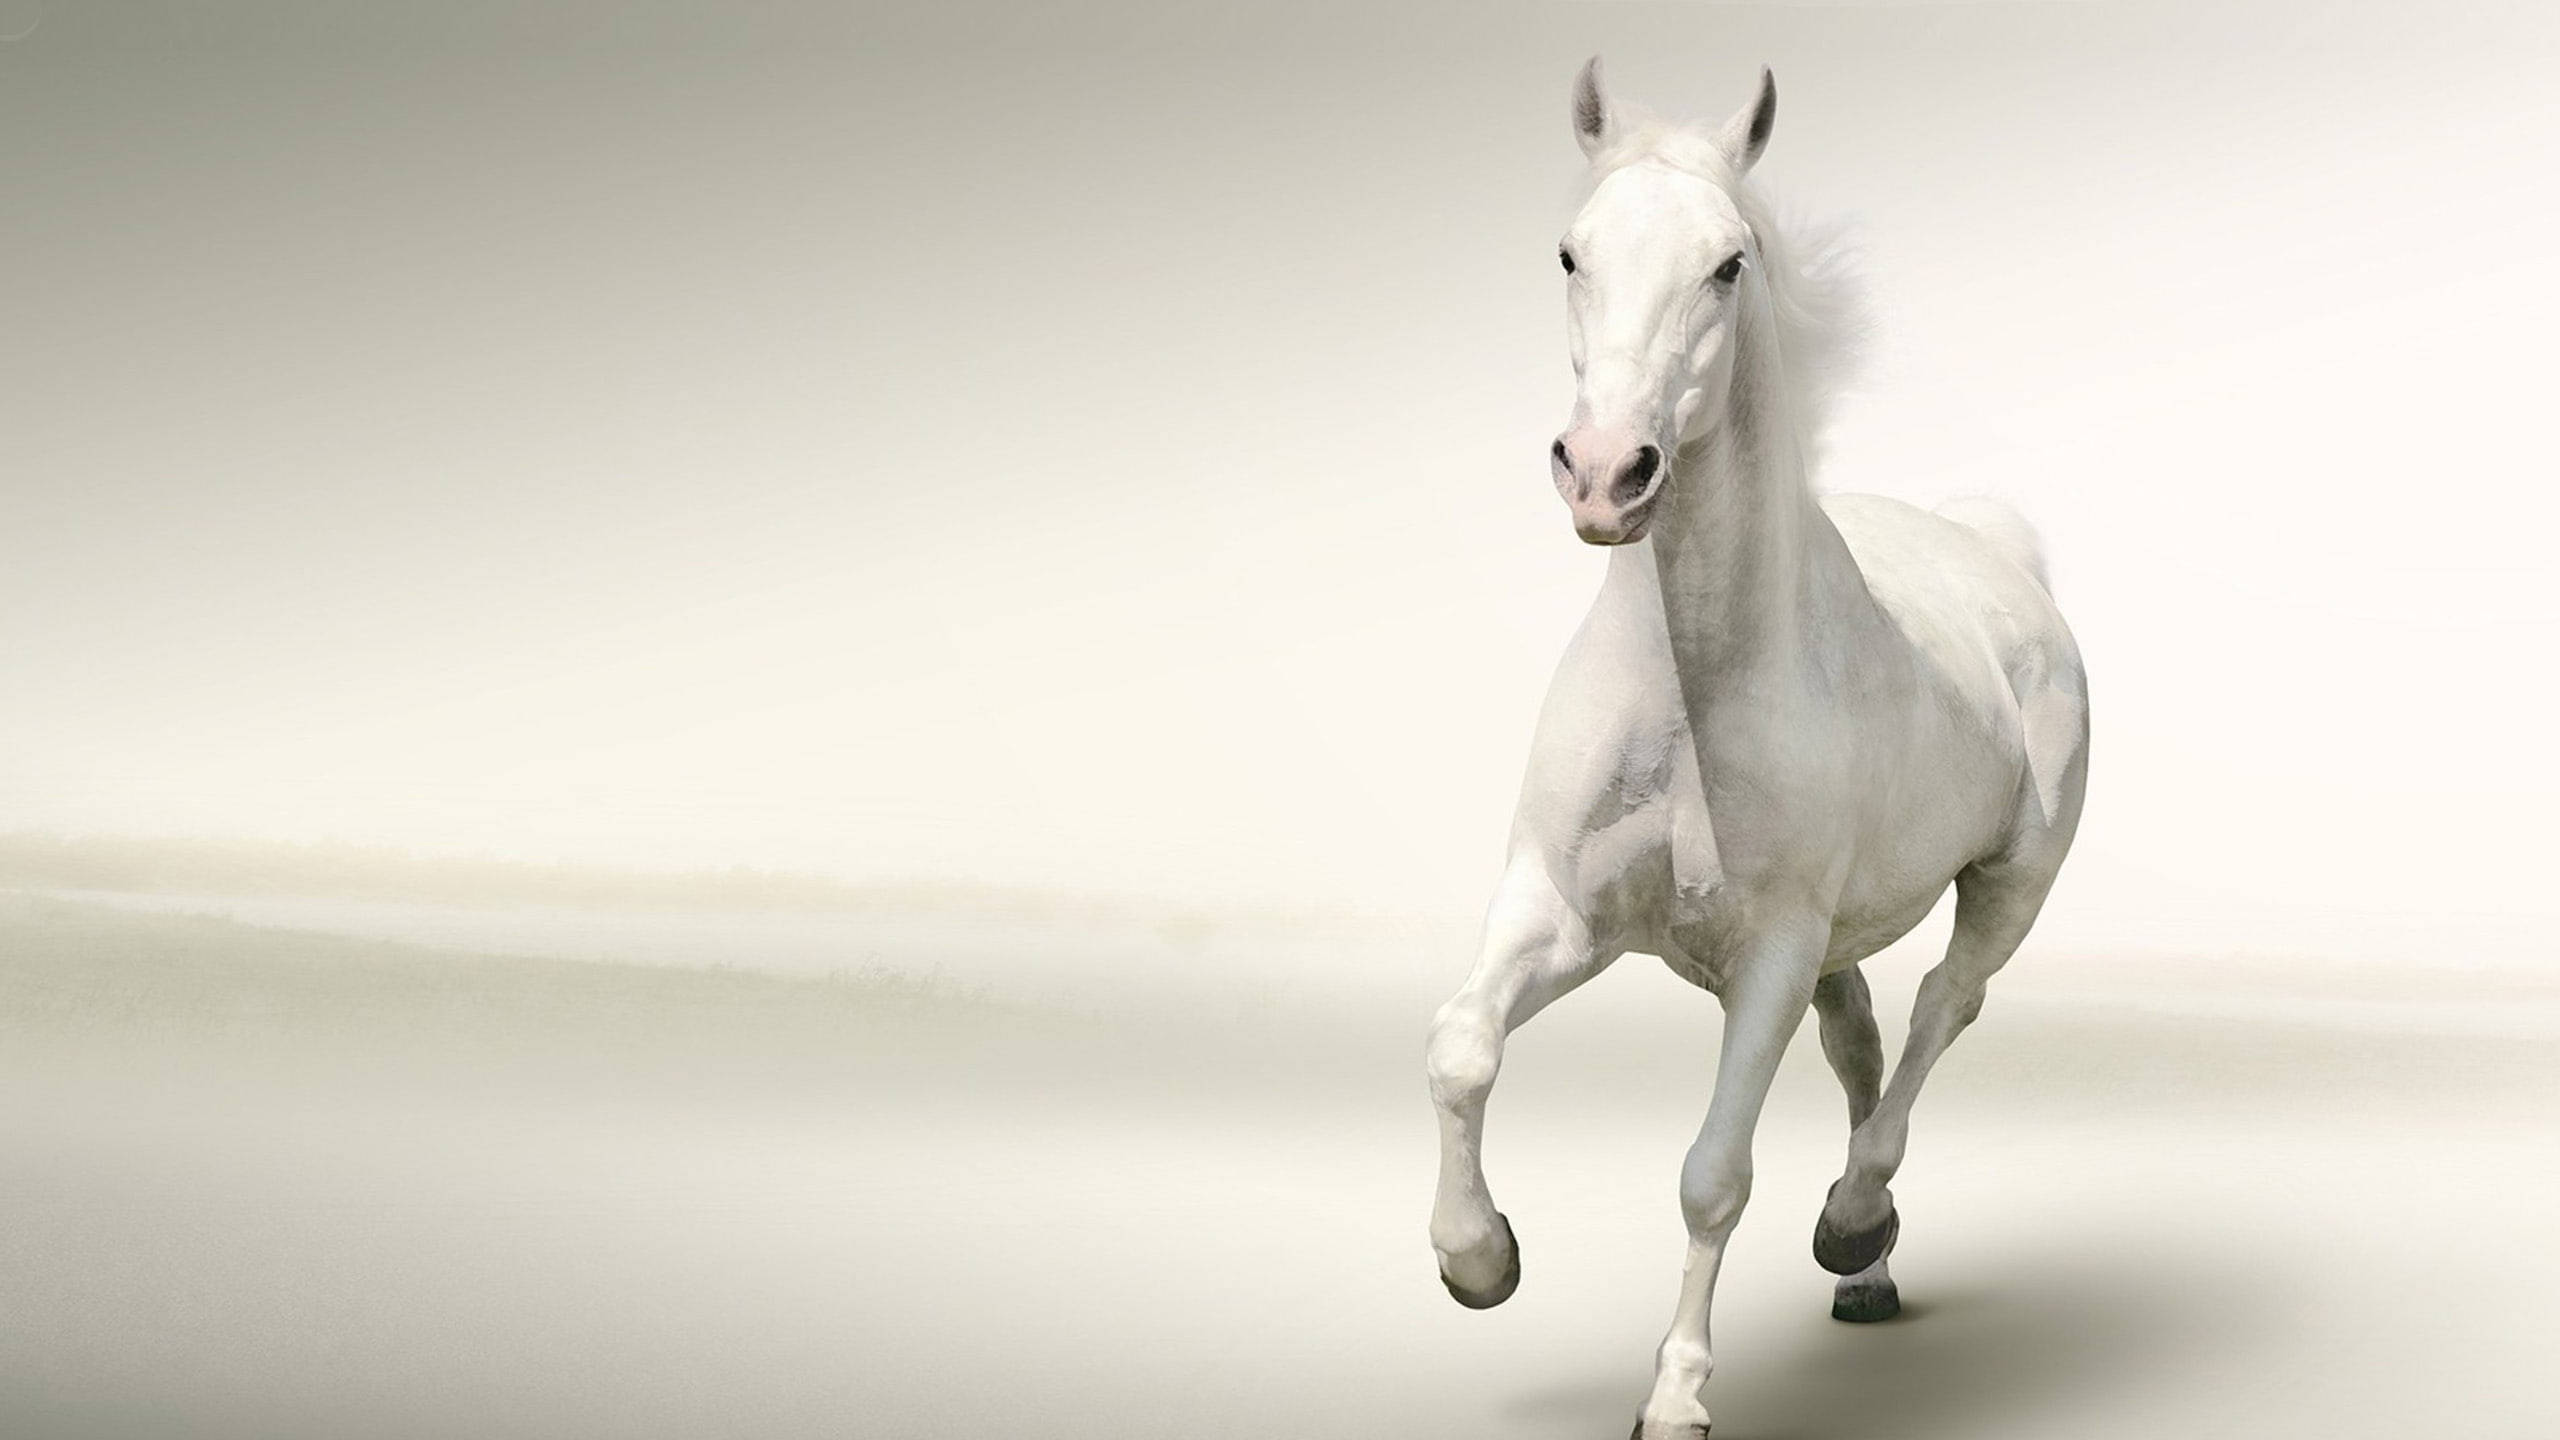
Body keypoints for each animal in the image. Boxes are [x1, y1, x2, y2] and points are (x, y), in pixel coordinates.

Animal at [1423, 59, 2091, 1438]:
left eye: (1727, 264)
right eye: (1569, 251)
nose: (1605, 475)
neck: (1689, 692)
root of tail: (1995, 550)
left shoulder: (1769, 956)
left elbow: (1711, 1174)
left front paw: (1673, 1398)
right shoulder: (1561, 910)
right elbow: (1459, 1048)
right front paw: (1479, 1261)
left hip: (2009, 883)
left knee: (1944, 1009)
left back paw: (1854, 1225)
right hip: (1840, 942)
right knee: (1866, 1043)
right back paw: (1868, 1275)